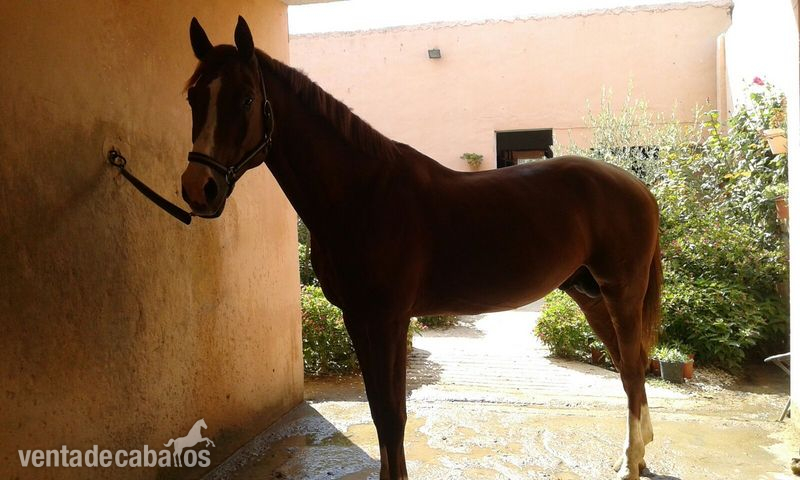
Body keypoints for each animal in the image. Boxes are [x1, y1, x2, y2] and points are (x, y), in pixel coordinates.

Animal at [179, 17, 662, 480]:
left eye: (246, 99)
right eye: (192, 98)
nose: (198, 188)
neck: (361, 195)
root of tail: (636, 186)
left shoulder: (388, 320)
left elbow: (392, 416)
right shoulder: (358, 318)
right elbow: (381, 413)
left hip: (620, 292)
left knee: (632, 368)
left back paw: (630, 463)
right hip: (590, 296)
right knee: (629, 367)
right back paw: (636, 456)